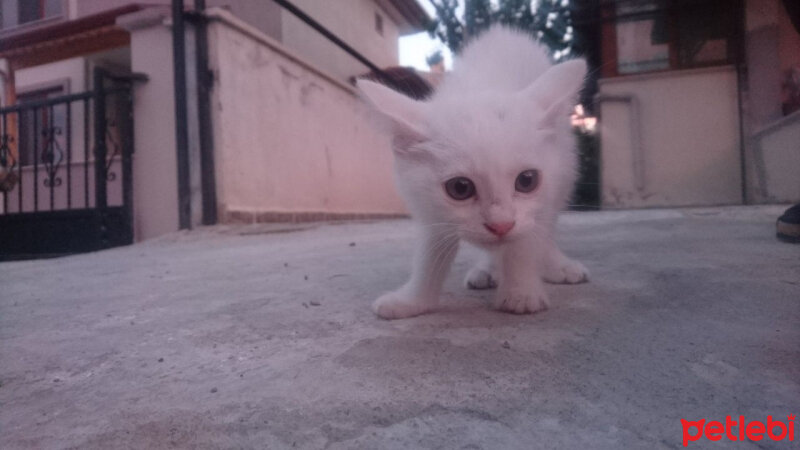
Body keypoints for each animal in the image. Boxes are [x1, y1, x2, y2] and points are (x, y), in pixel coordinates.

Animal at [356, 25, 588, 320]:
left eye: (527, 181)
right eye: (460, 188)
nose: (500, 225)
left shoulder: (542, 196)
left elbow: (525, 240)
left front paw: (521, 293)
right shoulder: (428, 208)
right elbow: (430, 253)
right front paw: (413, 300)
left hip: (565, 170)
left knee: (546, 227)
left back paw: (556, 265)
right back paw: (488, 269)